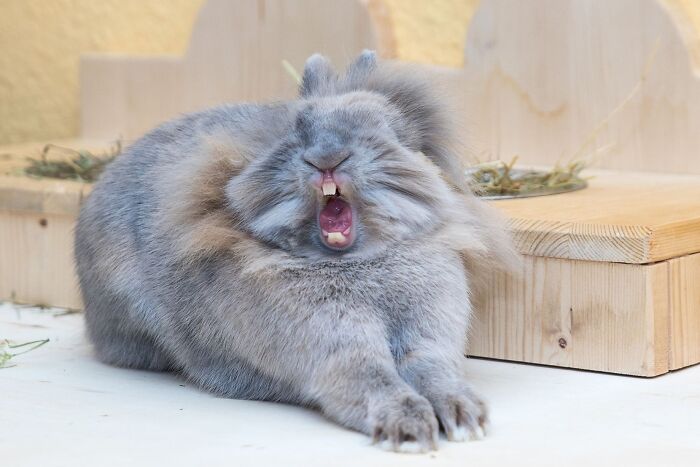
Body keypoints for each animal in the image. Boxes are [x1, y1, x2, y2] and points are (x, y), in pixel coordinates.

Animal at [74, 50, 515, 453]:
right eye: (297, 128)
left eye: (385, 129)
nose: (326, 158)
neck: (355, 261)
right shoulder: (336, 347)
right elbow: (368, 374)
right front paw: (409, 429)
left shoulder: (428, 333)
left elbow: (432, 368)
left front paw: (464, 417)